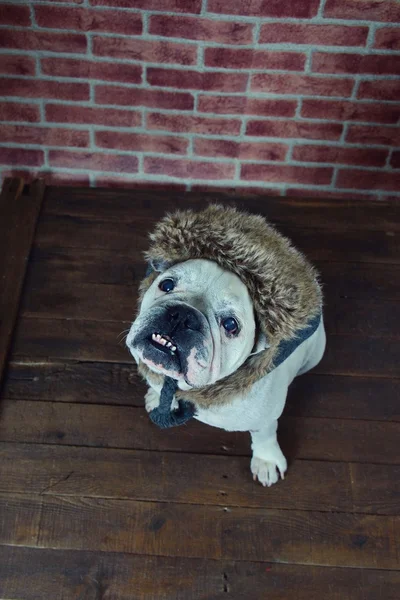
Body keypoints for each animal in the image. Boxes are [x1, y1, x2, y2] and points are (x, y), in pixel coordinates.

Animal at [125, 206, 324, 488]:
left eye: (230, 325)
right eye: (166, 284)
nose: (183, 315)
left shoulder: (266, 417)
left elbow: (265, 434)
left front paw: (266, 460)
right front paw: (156, 395)